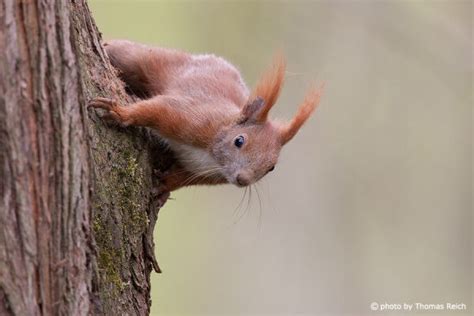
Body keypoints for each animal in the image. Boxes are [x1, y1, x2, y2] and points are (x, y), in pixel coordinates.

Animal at [90, 40, 322, 191]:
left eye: (271, 167)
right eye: (239, 141)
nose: (243, 179)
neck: (212, 157)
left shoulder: (206, 176)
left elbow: (181, 180)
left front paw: (164, 186)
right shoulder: (195, 119)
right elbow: (155, 110)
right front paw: (119, 113)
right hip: (149, 60)